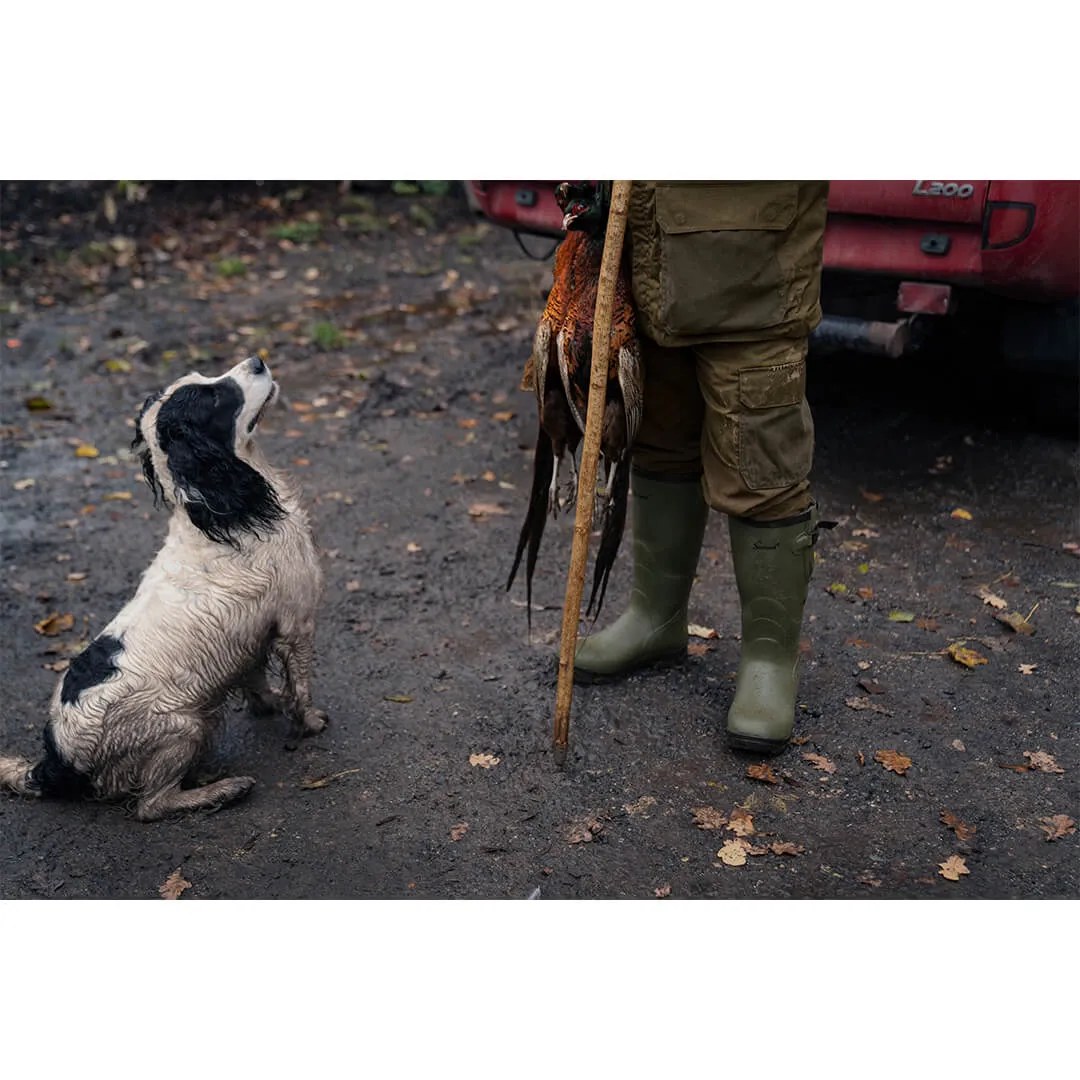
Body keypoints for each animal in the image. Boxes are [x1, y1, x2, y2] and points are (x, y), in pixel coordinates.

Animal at [1, 354, 328, 816]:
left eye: (208, 378)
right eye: (215, 396)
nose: (257, 360)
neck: (225, 513)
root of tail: (54, 761)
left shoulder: (250, 637)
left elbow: (257, 679)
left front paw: (270, 704)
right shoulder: (296, 624)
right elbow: (301, 687)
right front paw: (310, 722)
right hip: (184, 727)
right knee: (151, 805)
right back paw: (223, 790)